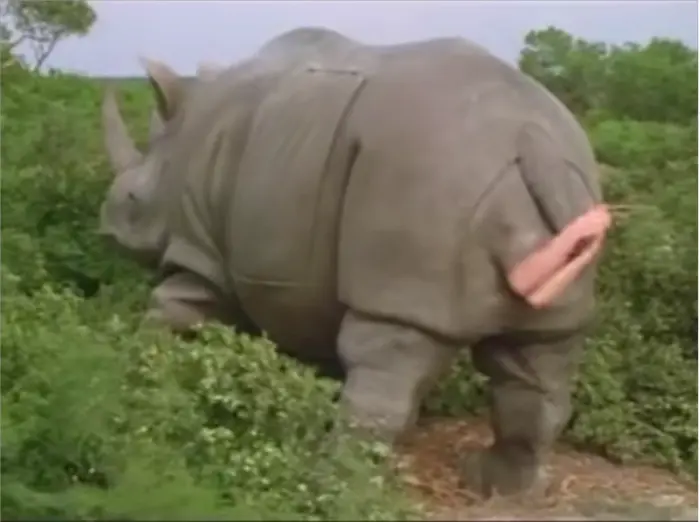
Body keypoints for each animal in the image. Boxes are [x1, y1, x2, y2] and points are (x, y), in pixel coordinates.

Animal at [99, 27, 612, 498]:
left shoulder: (201, 248)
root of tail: (533, 143)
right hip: (553, 188)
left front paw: (144, 372)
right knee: (540, 357)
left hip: (422, 183)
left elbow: (174, 309)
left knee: (389, 356)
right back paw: (501, 489)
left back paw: (328, 486)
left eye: (132, 200)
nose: (107, 229)